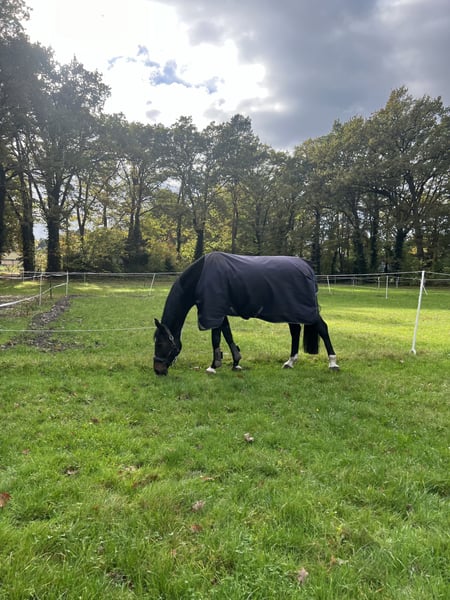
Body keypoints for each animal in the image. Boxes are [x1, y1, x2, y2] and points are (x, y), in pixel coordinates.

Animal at [153, 252, 339, 375]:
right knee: (295, 331)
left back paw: (333, 363)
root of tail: (306, 266)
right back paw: (290, 362)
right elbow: (227, 335)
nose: (158, 370)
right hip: (291, 311)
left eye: (160, 344)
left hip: (305, 311)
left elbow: (216, 338)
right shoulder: (220, 312)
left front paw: (213, 366)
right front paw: (235, 362)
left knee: (322, 328)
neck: (200, 277)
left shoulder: (213, 311)